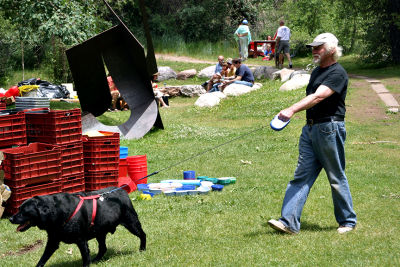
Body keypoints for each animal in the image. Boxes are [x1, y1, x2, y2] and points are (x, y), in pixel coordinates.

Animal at [9, 187, 146, 266]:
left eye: (23, 211)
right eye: (19, 209)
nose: (10, 218)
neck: (58, 212)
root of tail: (122, 191)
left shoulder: (81, 240)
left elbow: (85, 258)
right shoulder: (53, 241)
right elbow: (42, 259)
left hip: (131, 222)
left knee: (143, 234)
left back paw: (142, 249)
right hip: (100, 231)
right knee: (103, 248)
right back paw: (96, 260)